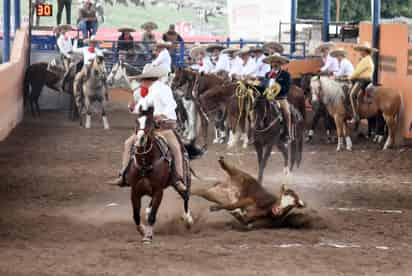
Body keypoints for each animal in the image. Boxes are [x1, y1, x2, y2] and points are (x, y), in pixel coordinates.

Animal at [128, 104, 194, 243]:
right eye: (137, 121)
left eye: (150, 122)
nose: (140, 140)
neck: (145, 163)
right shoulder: (134, 191)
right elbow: (136, 215)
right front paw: (143, 231)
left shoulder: (159, 191)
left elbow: (152, 216)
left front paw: (148, 237)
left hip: (184, 179)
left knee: (186, 196)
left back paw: (188, 219)